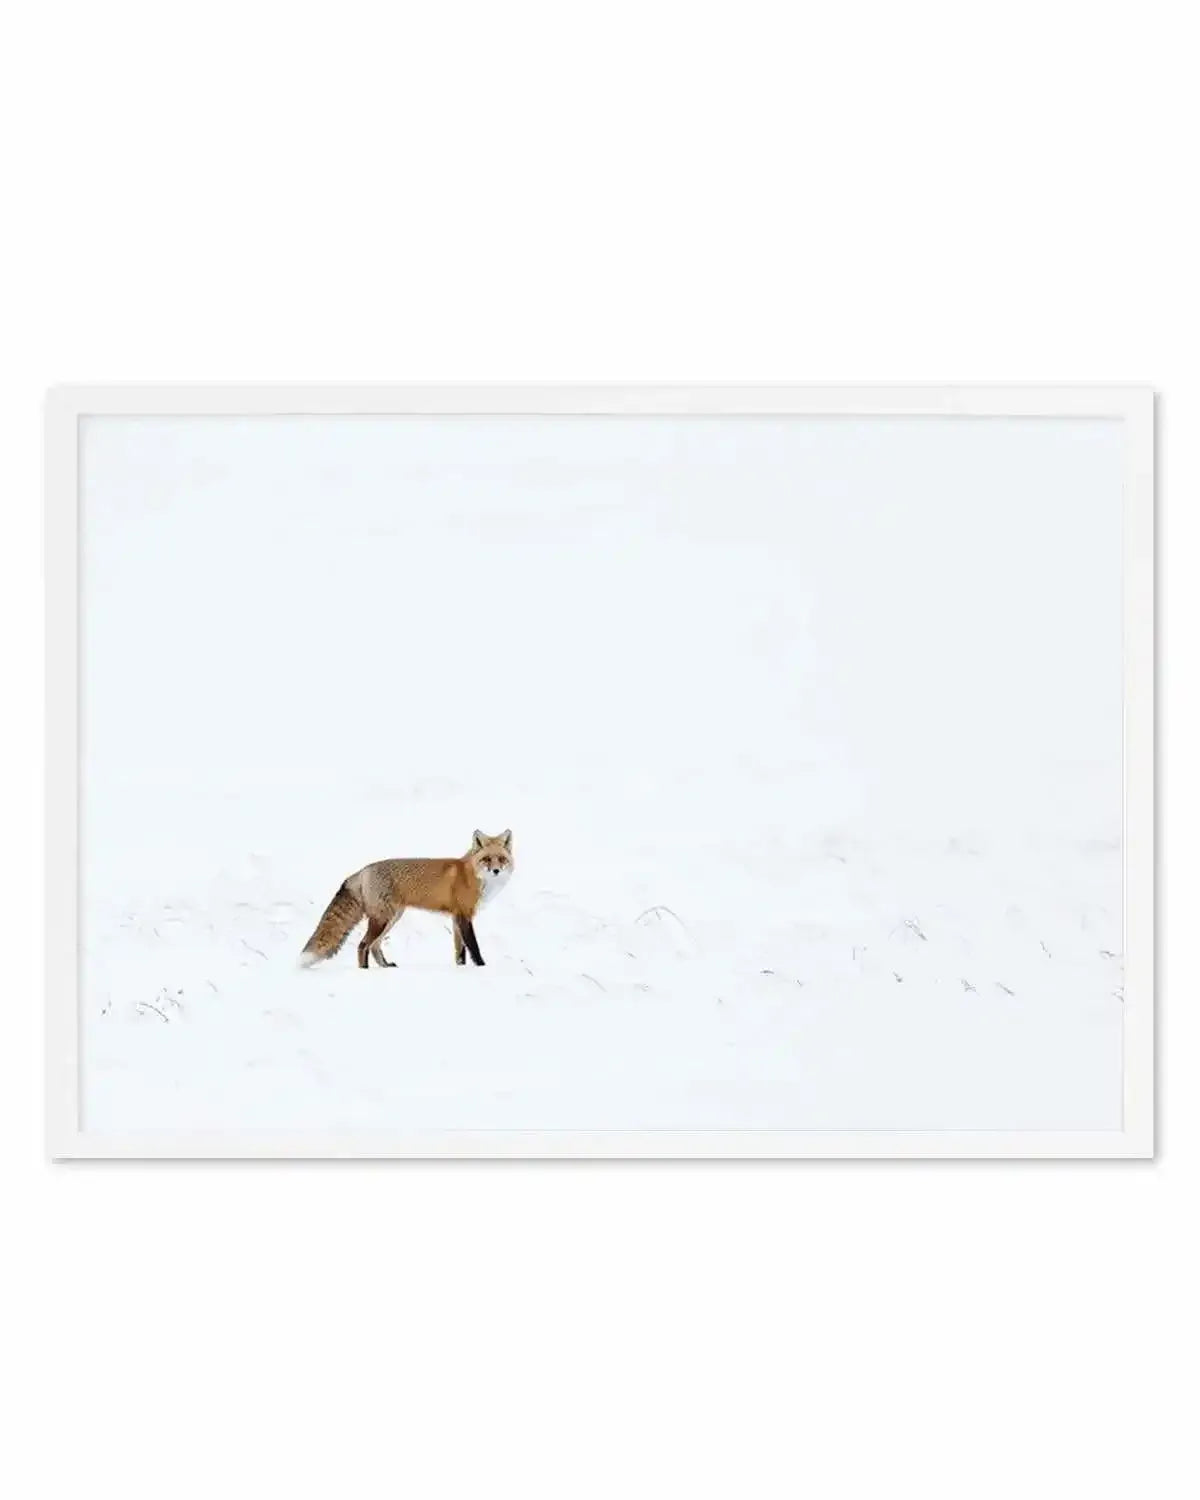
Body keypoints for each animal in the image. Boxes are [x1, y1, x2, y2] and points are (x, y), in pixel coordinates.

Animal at [300, 829, 513, 970]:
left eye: (501, 859)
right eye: (487, 859)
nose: (496, 871)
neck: (473, 876)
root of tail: (363, 870)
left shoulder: (456, 918)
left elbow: (459, 951)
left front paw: (461, 968)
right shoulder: (463, 915)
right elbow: (474, 947)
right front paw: (482, 967)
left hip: (392, 918)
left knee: (374, 946)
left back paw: (385, 966)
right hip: (383, 919)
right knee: (363, 945)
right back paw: (365, 971)